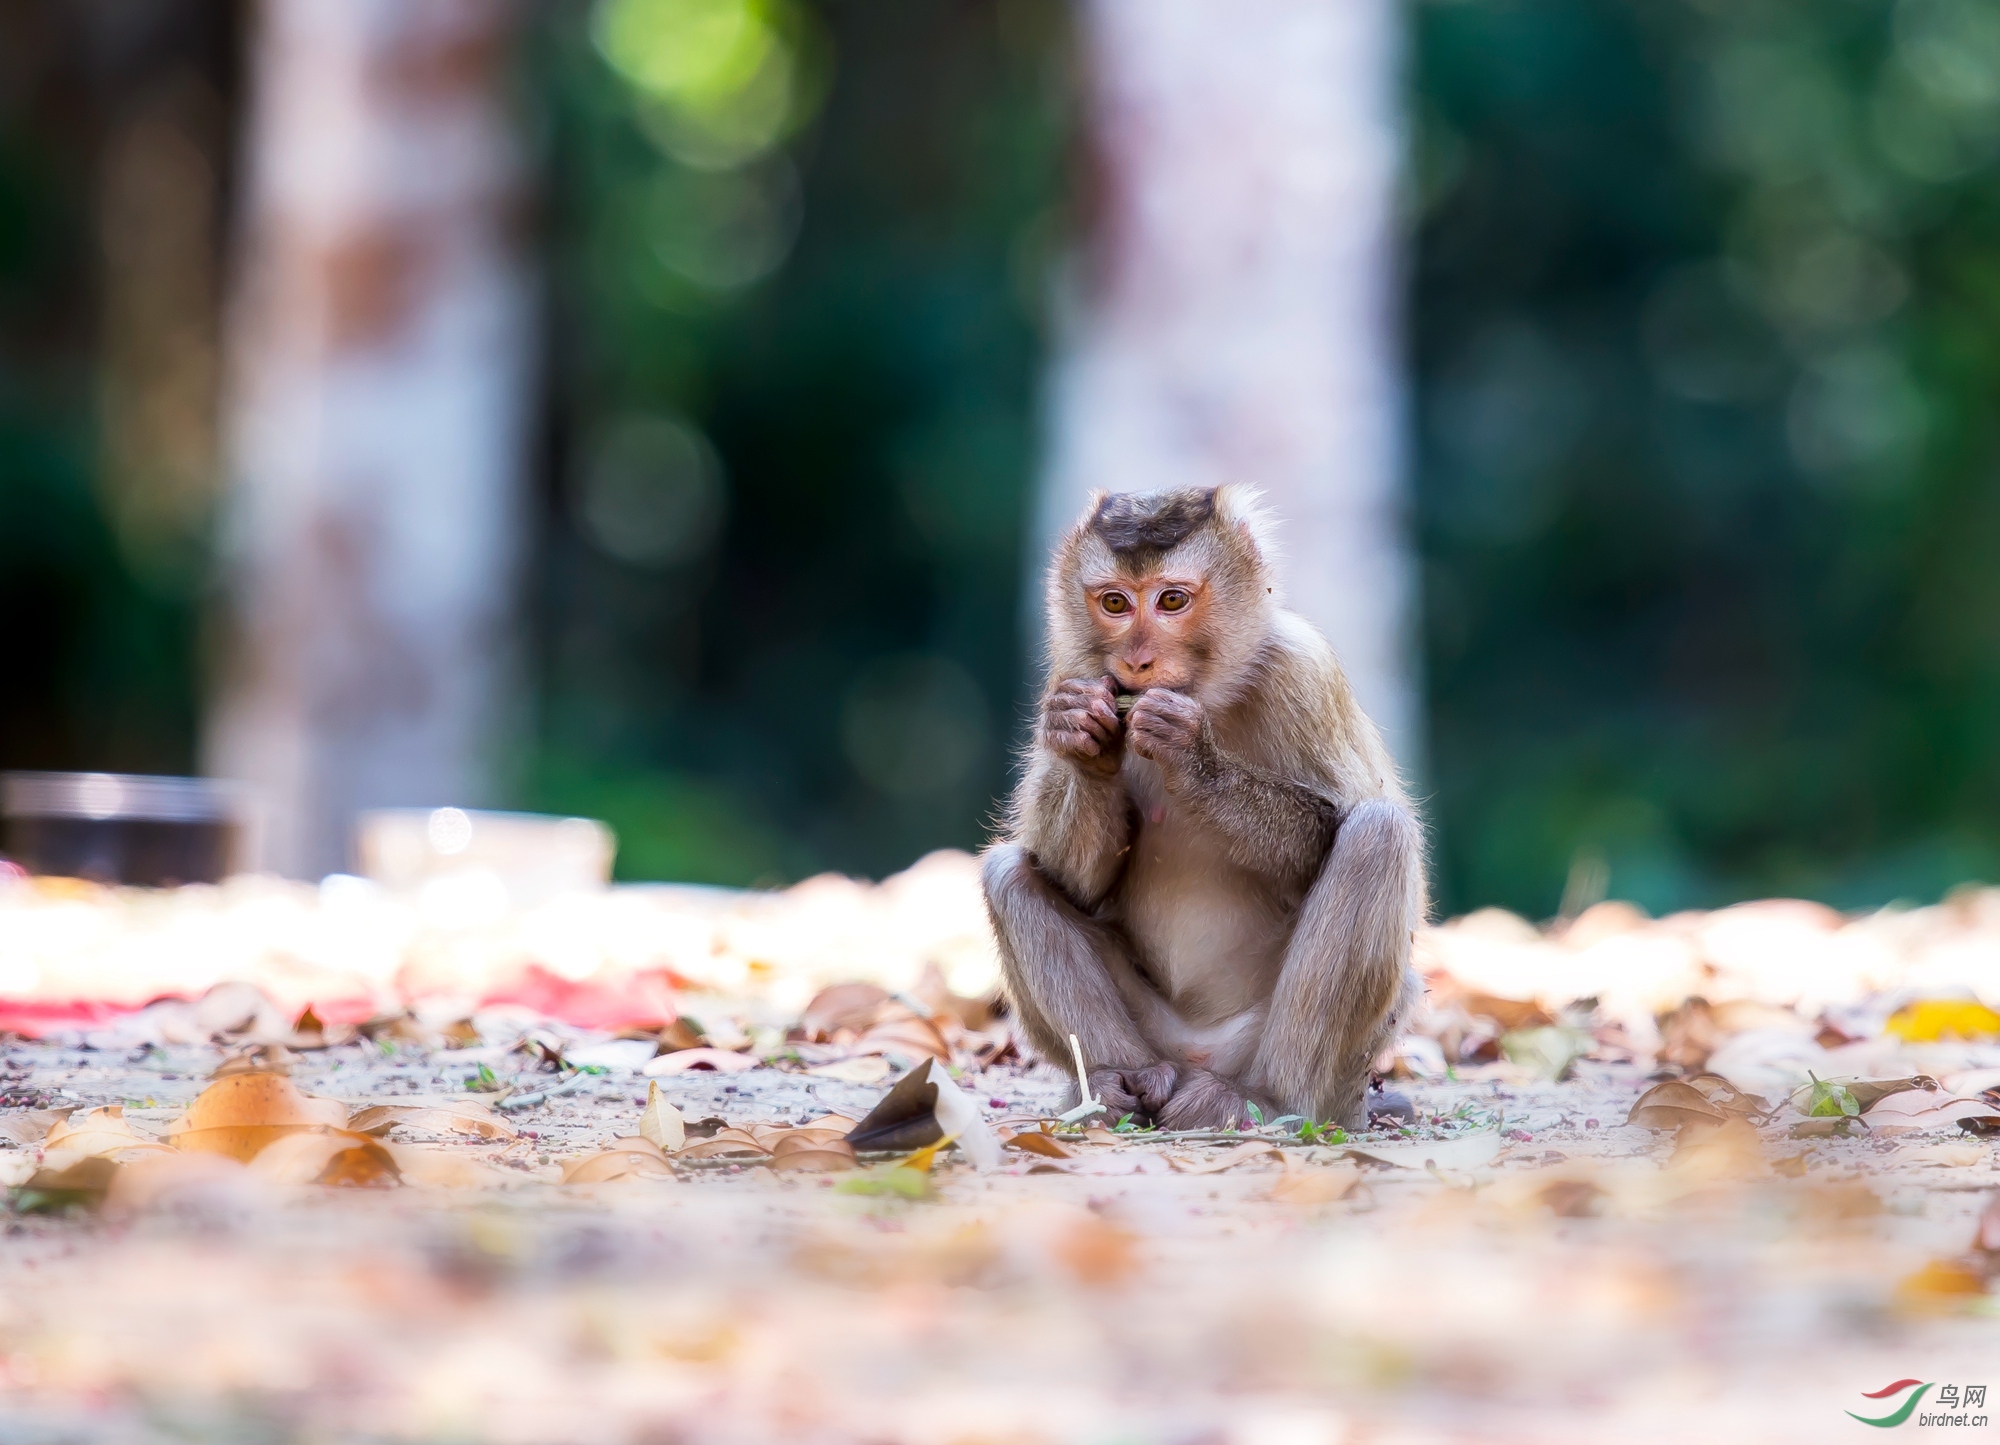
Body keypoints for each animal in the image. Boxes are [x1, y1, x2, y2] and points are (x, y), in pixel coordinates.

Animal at [980, 484, 1424, 1128]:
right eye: (1114, 602)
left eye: (1171, 600)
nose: (1137, 662)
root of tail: (1198, 1055)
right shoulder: (1076, 670)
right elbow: (1075, 883)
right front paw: (1082, 737)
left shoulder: (1304, 671)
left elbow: (1335, 827)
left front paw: (1192, 757)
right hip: (1156, 1034)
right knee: (1009, 872)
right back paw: (1119, 1084)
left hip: (1308, 1064)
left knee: (1378, 834)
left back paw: (1266, 1098)